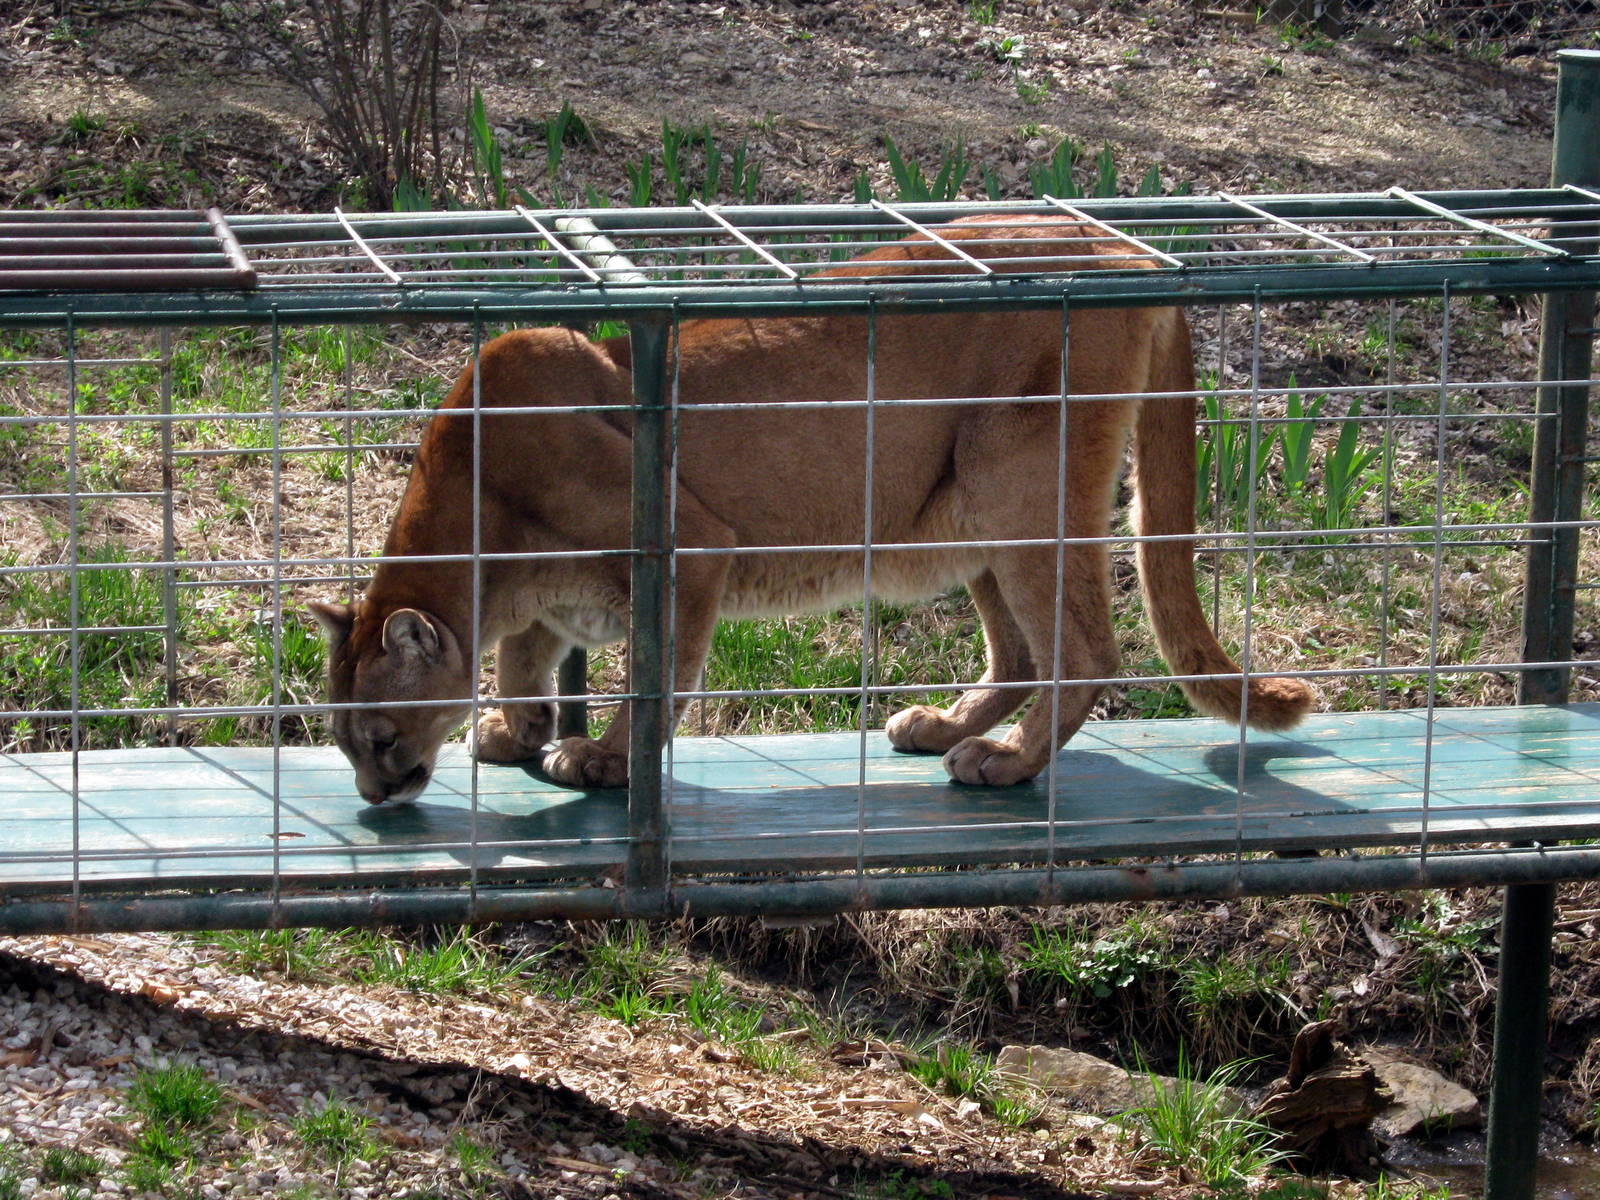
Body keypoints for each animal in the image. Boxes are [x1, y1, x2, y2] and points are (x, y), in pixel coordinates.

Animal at [311, 216, 1314, 805]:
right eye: (346, 743)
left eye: (380, 736)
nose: (373, 796)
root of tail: (1127, 247)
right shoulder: (545, 598)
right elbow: (524, 660)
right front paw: (516, 730)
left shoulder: (687, 549)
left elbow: (653, 677)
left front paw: (602, 760)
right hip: (972, 508)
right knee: (1025, 651)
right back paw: (946, 727)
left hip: (1019, 481)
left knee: (1084, 651)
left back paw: (1007, 761)